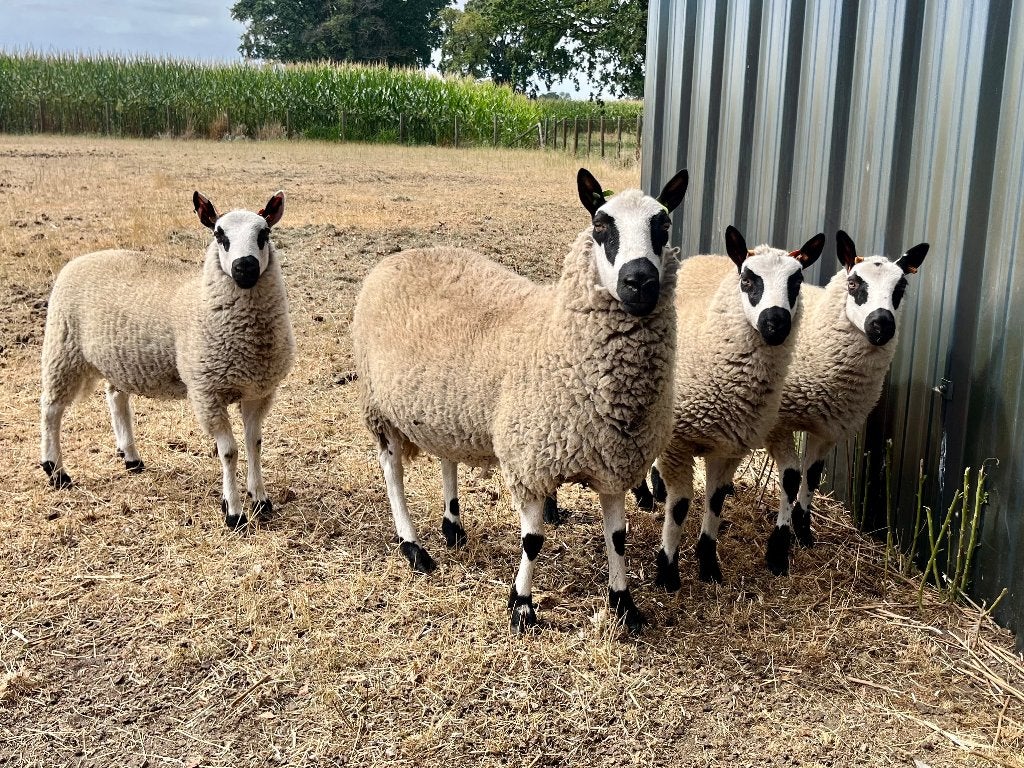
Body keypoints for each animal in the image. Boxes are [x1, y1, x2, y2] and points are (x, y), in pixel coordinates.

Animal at [39, 190, 295, 530]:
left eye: (264, 234)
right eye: (220, 235)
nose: (246, 268)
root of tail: (80, 258)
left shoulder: (258, 390)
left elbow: (255, 443)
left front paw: (261, 500)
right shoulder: (206, 392)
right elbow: (229, 452)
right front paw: (234, 512)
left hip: (118, 357)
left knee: (116, 397)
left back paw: (130, 457)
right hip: (63, 348)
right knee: (51, 408)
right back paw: (55, 471)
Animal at [351, 167, 689, 632]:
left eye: (664, 226)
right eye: (601, 225)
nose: (640, 283)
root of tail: (398, 257)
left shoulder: (612, 465)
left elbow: (617, 539)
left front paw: (624, 603)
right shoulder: (530, 461)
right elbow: (532, 540)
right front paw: (522, 606)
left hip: (443, 407)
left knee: (446, 459)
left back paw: (452, 527)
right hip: (379, 408)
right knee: (392, 474)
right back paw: (413, 547)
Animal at [639, 226, 825, 589]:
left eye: (796, 281)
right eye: (748, 279)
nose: (776, 323)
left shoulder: (729, 448)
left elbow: (715, 501)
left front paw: (709, 564)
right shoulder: (678, 444)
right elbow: (680, 506)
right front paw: (667, 571)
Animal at [763, 230, 929, 575]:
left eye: (901, 288)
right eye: (854, 284)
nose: (882, 325)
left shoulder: (829, 426)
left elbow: (812, 476)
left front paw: (804, 531)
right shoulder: (779, 424)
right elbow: (790, 478)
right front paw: (779, 549)